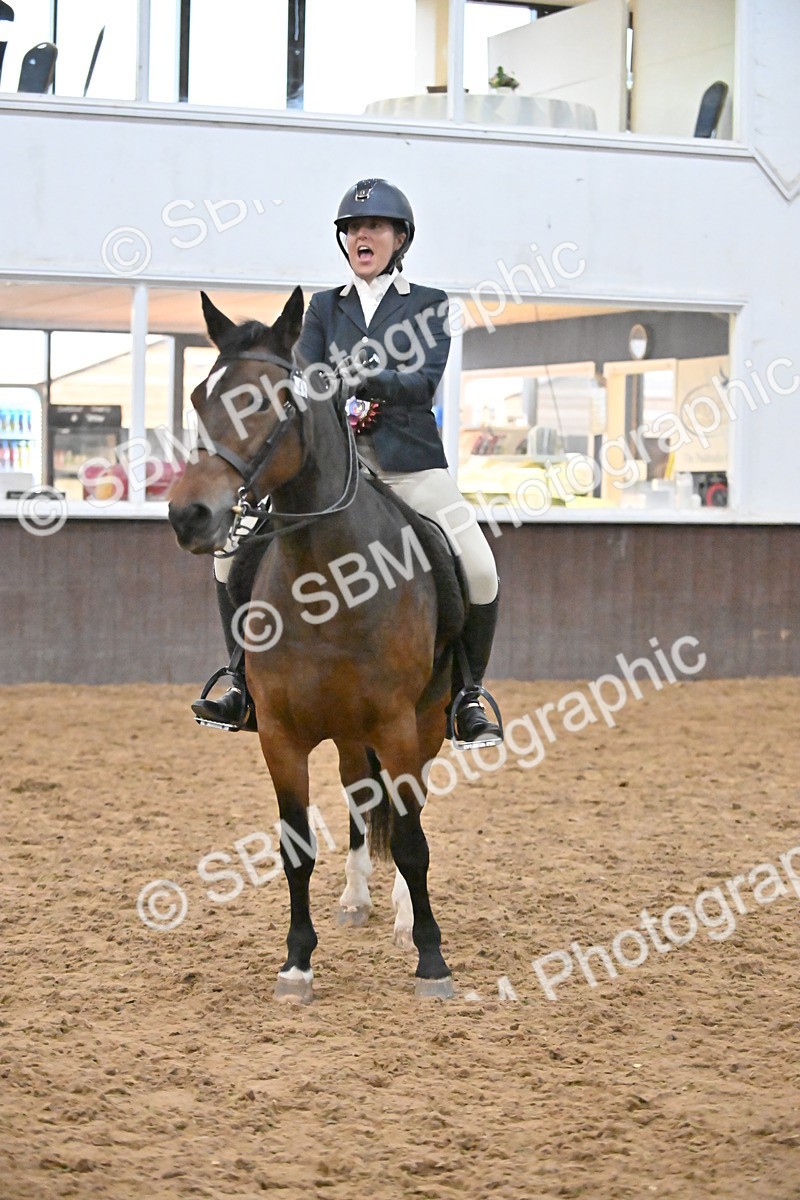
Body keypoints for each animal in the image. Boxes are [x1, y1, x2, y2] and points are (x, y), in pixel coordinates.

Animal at [168, 289, 465, 1002]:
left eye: (265, 400)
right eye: (199, 395)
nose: (189, 516)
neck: (329, 581)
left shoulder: (397, 724)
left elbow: (412, 843)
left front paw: (431, 959)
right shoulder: (280, 733)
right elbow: (296, 847)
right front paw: (297, 963)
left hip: (422, 723)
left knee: (408, 812)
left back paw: (401, 915)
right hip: (348, 730)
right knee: (361, 798)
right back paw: (356, 899)